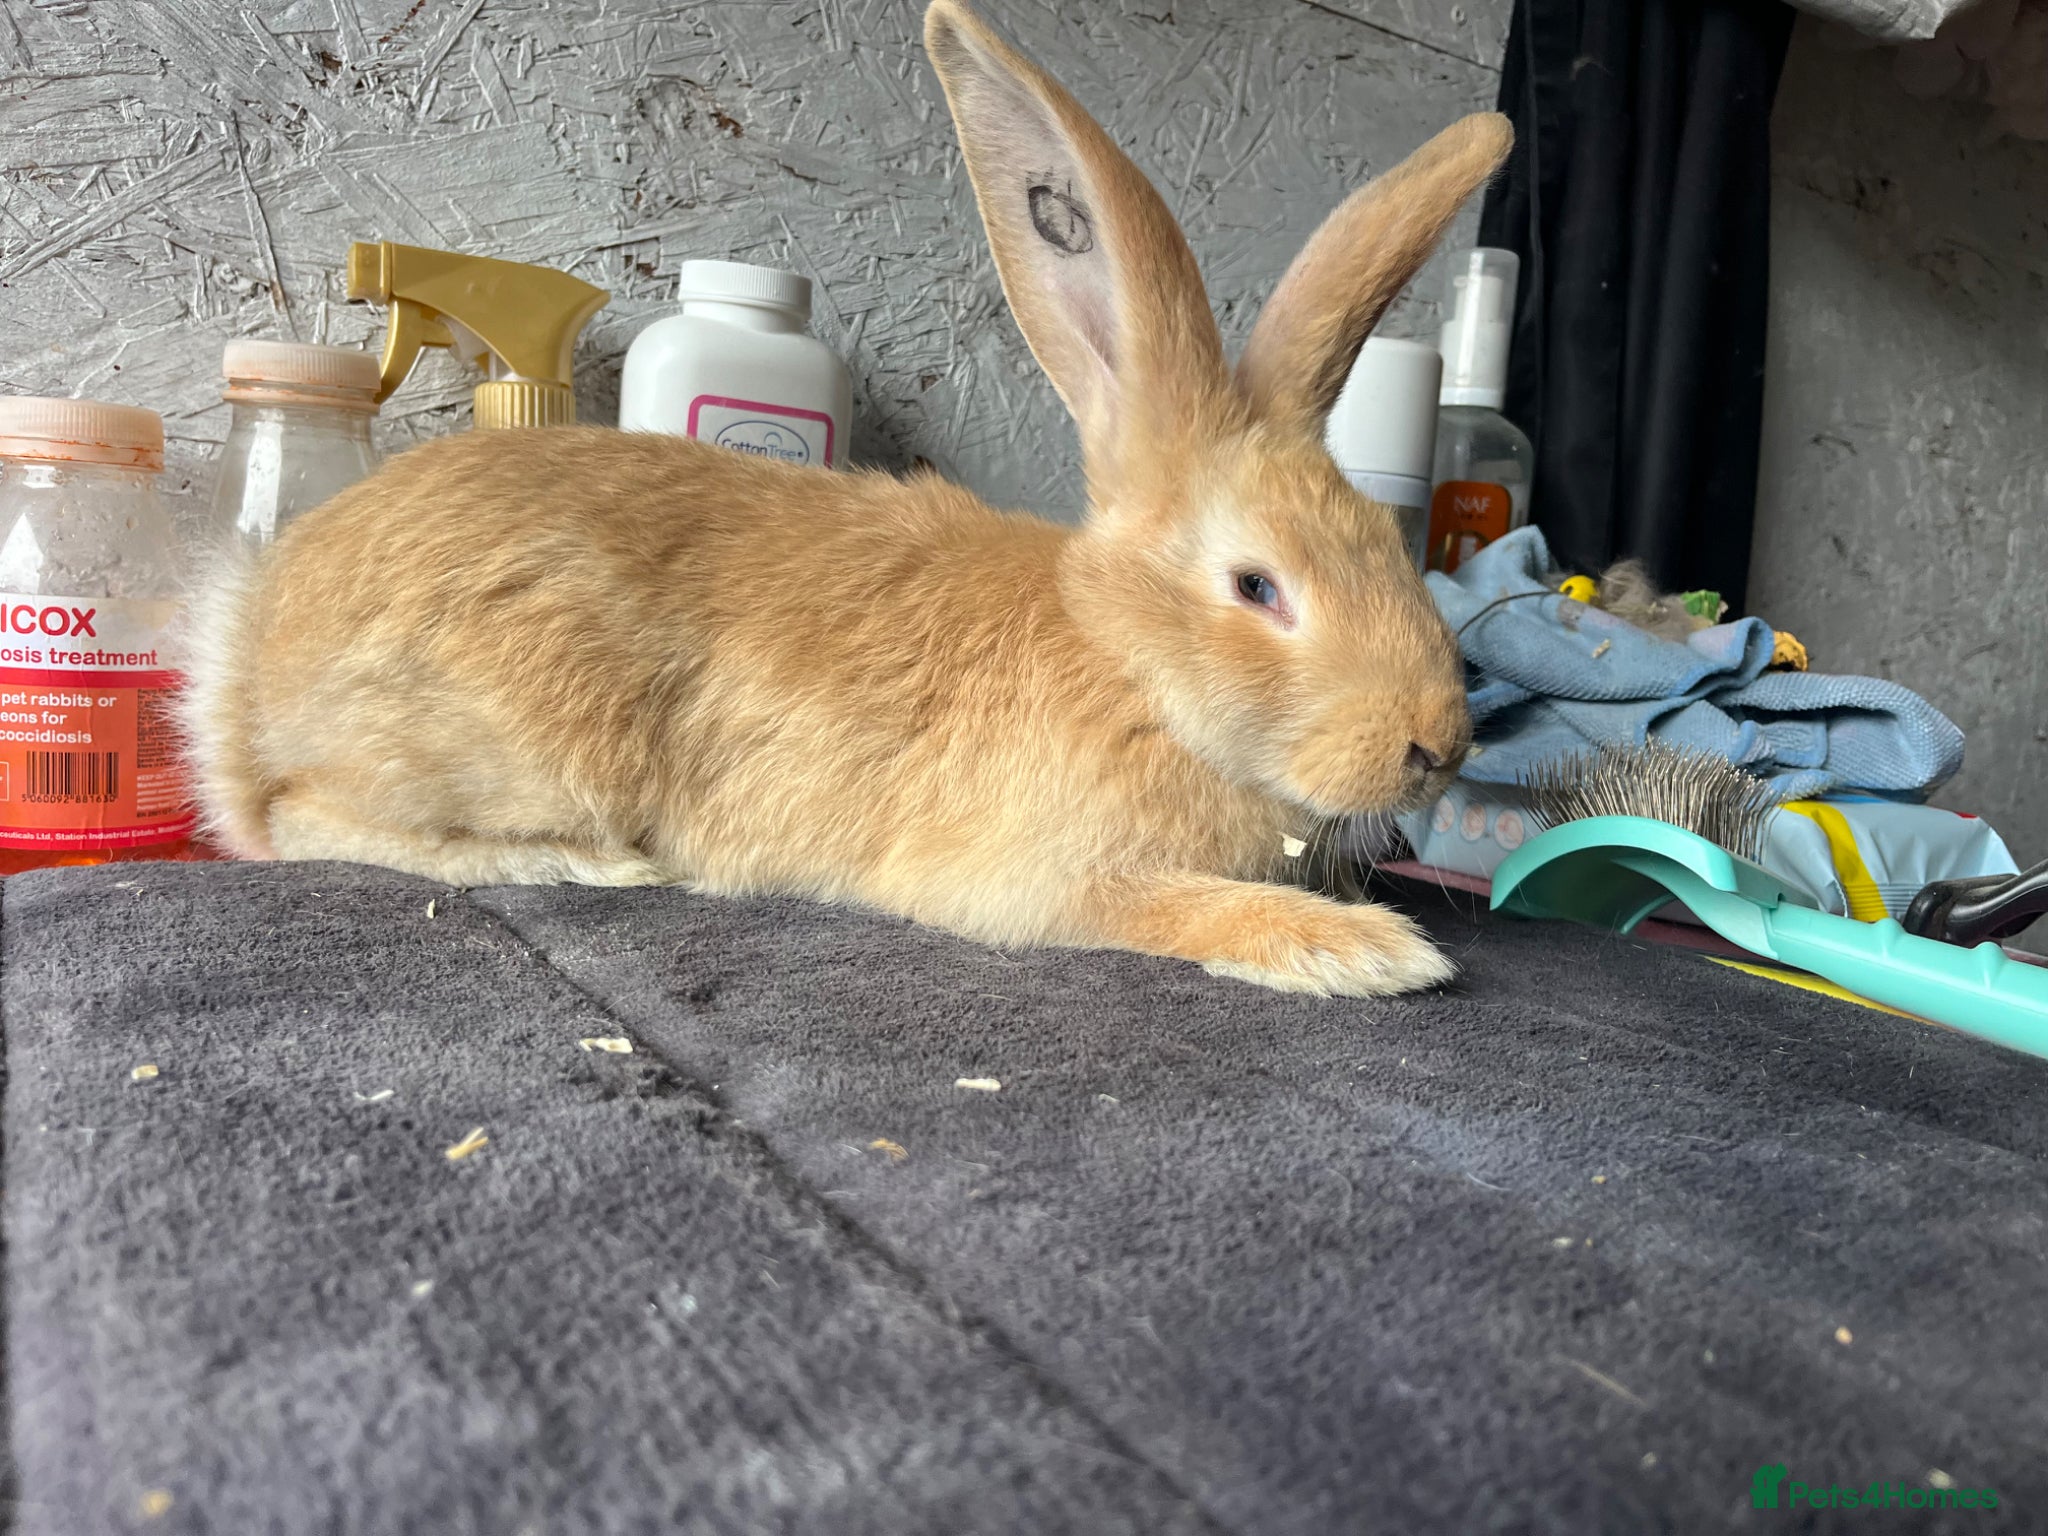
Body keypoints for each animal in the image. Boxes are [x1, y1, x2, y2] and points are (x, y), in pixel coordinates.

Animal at [181, 0, 1510, 998]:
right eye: (1255, 586)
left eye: (1384, 545)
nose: (1436, 747)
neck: (1125, 663)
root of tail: (247, 664)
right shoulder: (1042, 877)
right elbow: (1171, 908)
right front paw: (1367, 951)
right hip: (518, 736)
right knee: (296, 818)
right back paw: (588, 868)